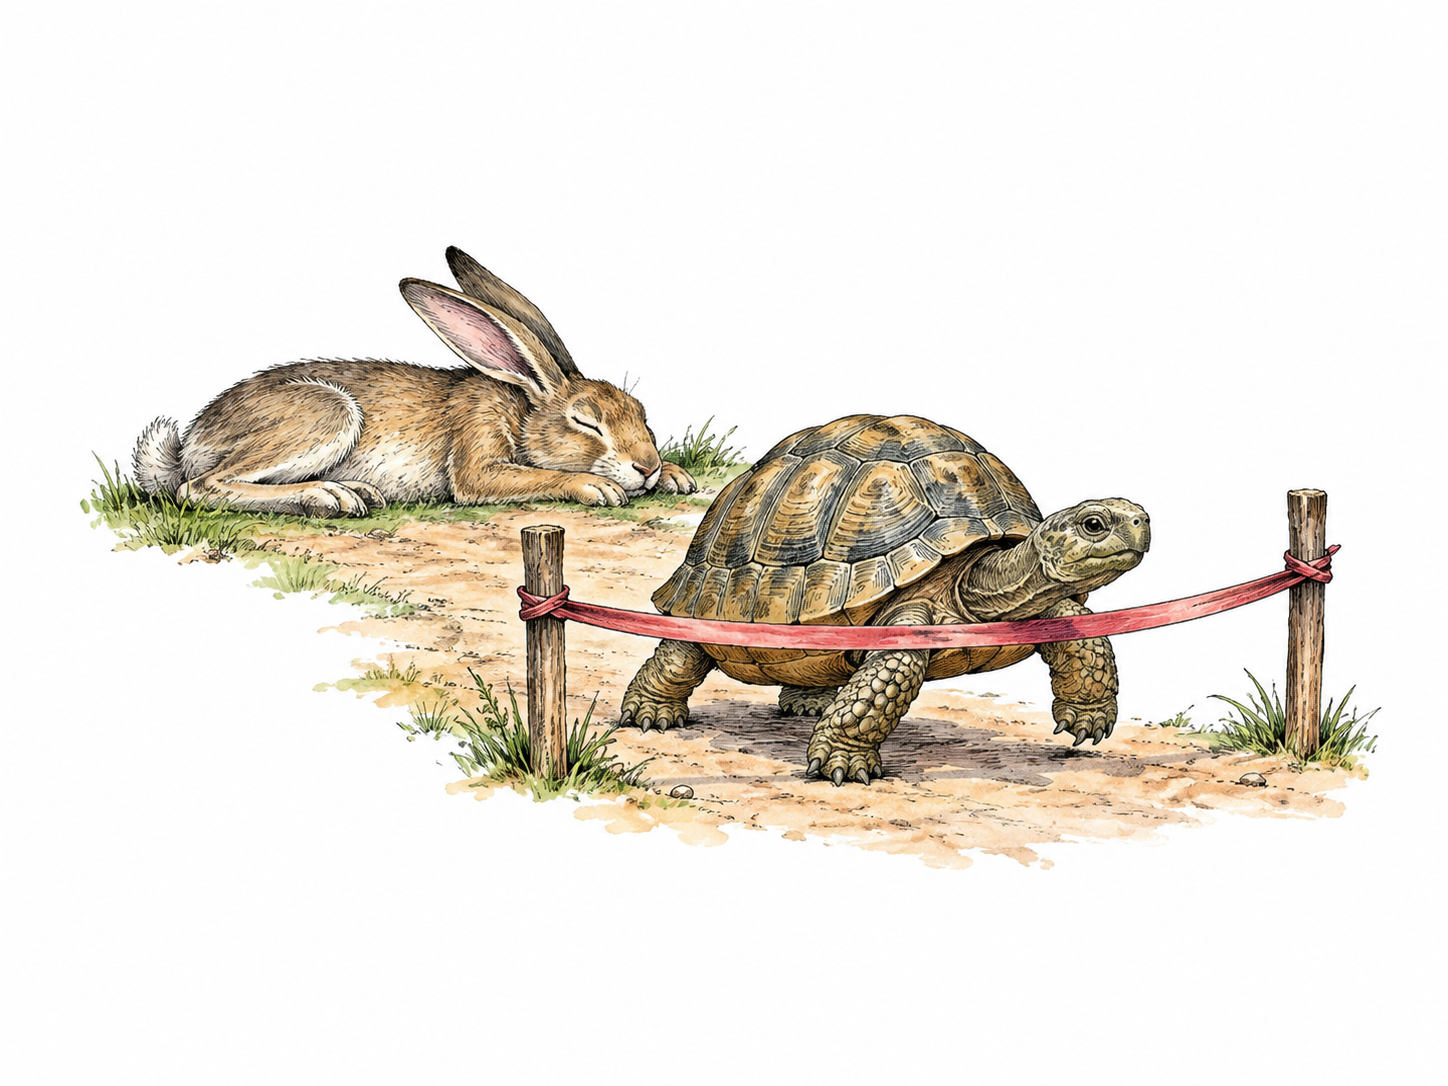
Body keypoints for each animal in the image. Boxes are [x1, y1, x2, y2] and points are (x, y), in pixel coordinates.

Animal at [132, 250, 698, 517]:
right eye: (585, 422)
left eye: (641, 412)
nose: (646, 466)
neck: (522, 407)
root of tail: (191, 441)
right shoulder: (477, 460)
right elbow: (523, 477)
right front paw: (597, 486)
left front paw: (676, 477)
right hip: (326, 414)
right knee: (199, 487)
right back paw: (328, 498)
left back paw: (354, 491)